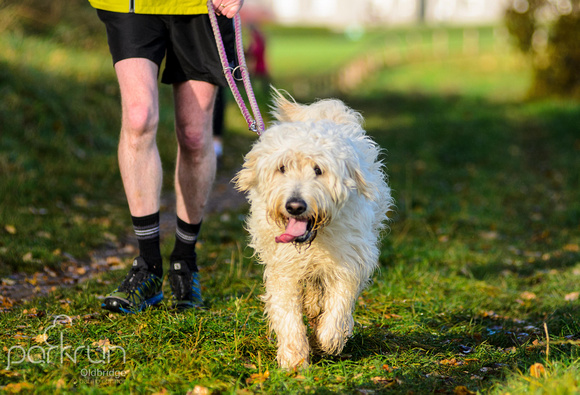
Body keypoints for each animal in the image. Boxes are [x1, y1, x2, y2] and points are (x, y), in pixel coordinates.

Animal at [233, 91, 392, 370]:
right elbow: (287, 312)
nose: (295, 206)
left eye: (318, 170)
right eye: (282, 168)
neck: (313, 240)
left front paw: (330, 338)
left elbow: (340, 299)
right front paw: (293, 358)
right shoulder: (283, 268)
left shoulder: (349, 258)